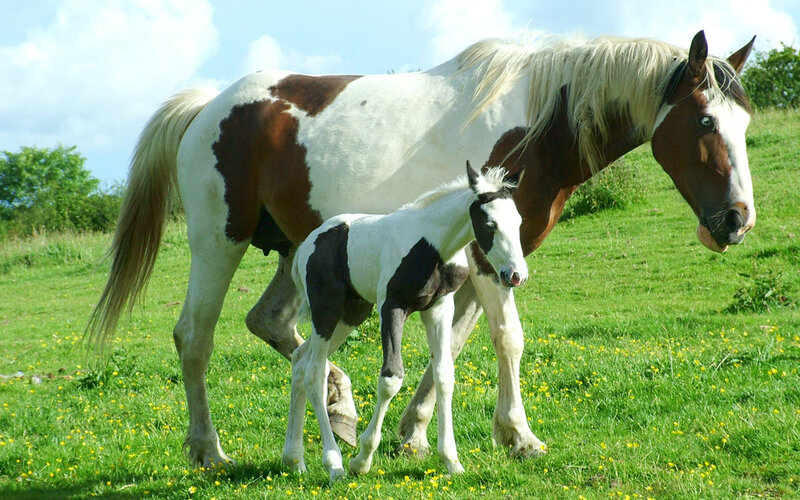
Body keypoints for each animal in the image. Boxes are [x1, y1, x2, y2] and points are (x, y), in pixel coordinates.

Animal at [285, 163, 526, 481]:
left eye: (519, 222)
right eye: (490, 225)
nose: (516, 274)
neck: (432, 246)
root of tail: (305, 247)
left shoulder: (439, 307)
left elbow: (444, 375)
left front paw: (451, 460)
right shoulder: (392, 307)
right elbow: (391, 378)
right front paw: (362, 459)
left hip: (351, 313)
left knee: (300, 360)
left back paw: (294, 459)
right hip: (327, 310)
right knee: (314, 373)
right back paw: (334, 462)